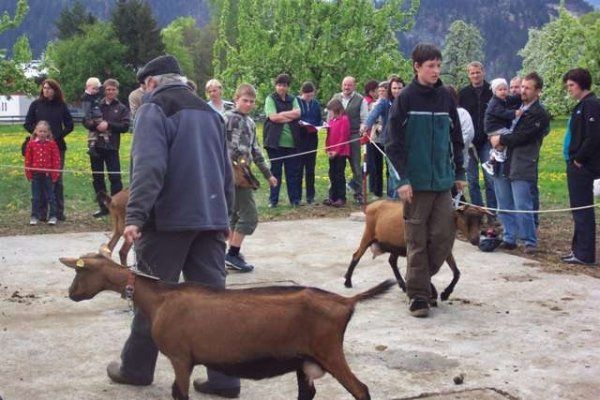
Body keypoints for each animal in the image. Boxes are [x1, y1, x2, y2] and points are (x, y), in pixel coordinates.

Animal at [59, 252, 396, 400]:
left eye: (79, 272)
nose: (71, 294)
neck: (159, 298)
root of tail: (345, 302)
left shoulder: (181, 357)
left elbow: (179, 394)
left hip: (329, 352)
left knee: (361, 390)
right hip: (305, 361)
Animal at [344, 200, 489, 303]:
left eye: (480, 221)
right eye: (467, 219)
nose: (476, 240)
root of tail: (370, 206)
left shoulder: (445, 251)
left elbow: (457, 273)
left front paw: (445, 294)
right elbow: (424, 270)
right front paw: (433, 293)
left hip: (395, 244)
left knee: (392, 261)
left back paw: (403, 285)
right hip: (368, 234)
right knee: (356, 255)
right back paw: (348, 282)